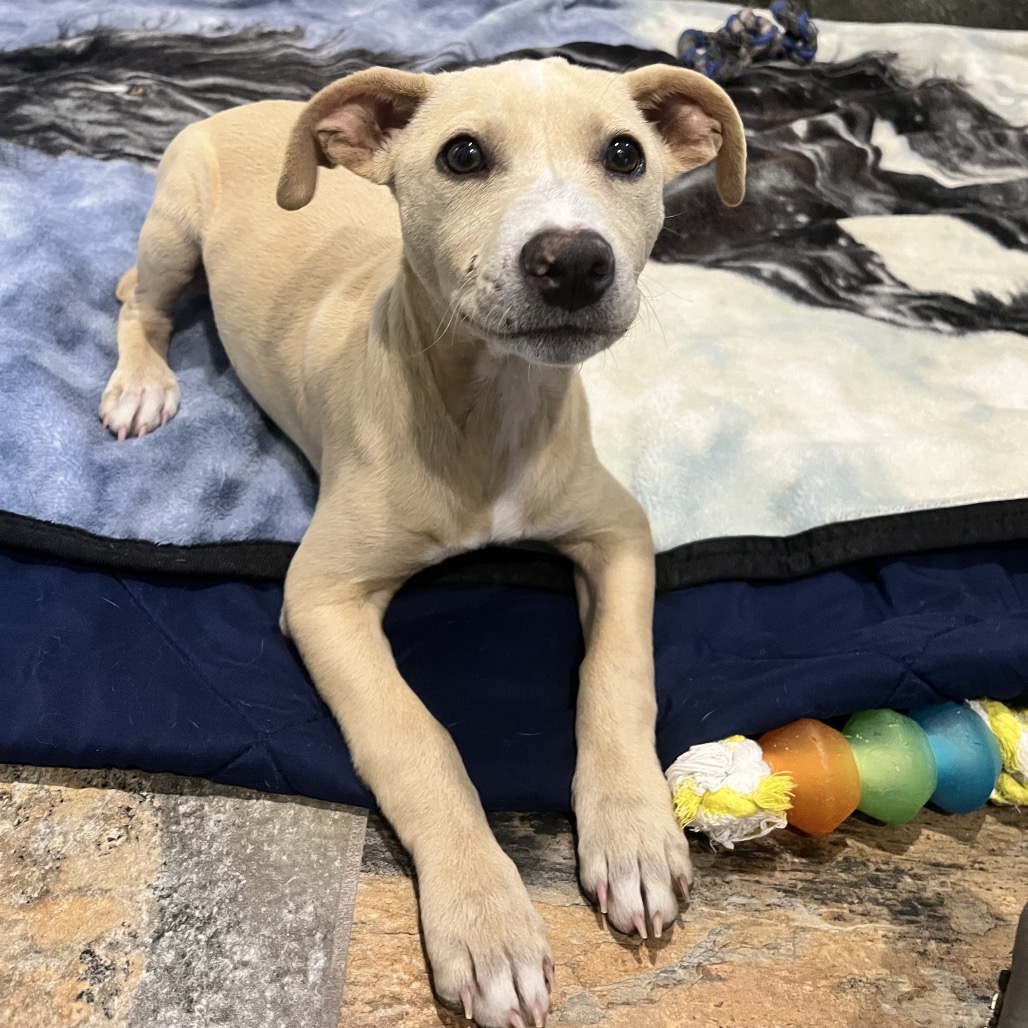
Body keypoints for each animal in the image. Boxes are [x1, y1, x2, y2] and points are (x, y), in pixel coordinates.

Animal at [101, 57, 745, 1028]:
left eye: (626, 155)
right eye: (463, 155)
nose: (574, 262)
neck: (491, 406)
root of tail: (261, 106)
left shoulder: (619, 531)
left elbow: (618, 675)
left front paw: (633, 834)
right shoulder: (321, 596)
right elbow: (416, 740)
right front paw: (485, 922)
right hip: (173, 224)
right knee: (139, 304)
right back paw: (141, 383)